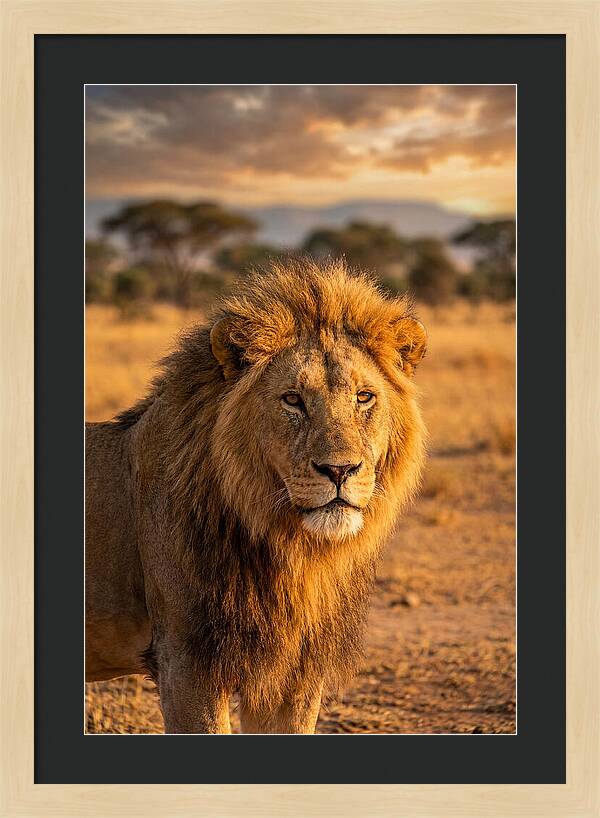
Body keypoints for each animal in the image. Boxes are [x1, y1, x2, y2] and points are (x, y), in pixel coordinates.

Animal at [85, 258, 427, 733]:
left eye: (364, 397)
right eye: (293, 400)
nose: (339, 470)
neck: (292, 551)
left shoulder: (294, 674)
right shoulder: (186, 663)